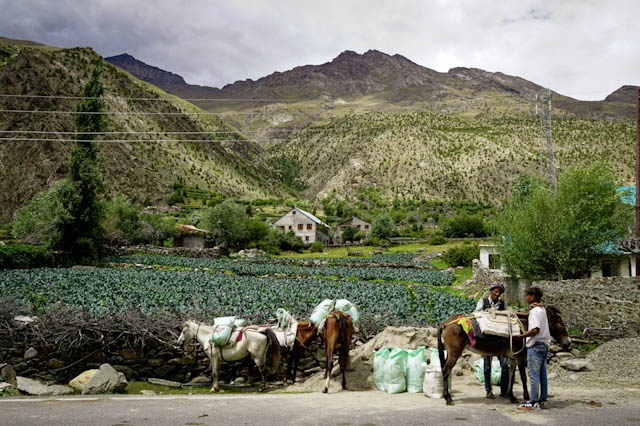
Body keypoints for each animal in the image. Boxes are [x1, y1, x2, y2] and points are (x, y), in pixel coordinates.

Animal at [440, 306, 568, 406]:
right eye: (561, 324)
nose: (569, 342)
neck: (525, 328)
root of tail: (445, 322)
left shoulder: (513, 358)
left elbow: (512, 375)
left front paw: (511, 396)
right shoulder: (520, 357)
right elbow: (523, 377)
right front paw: (526, 396)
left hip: (450, 352)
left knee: (443, 369)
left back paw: (445, 395)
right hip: (455, 353)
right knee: (446, 370)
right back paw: (448, 398)